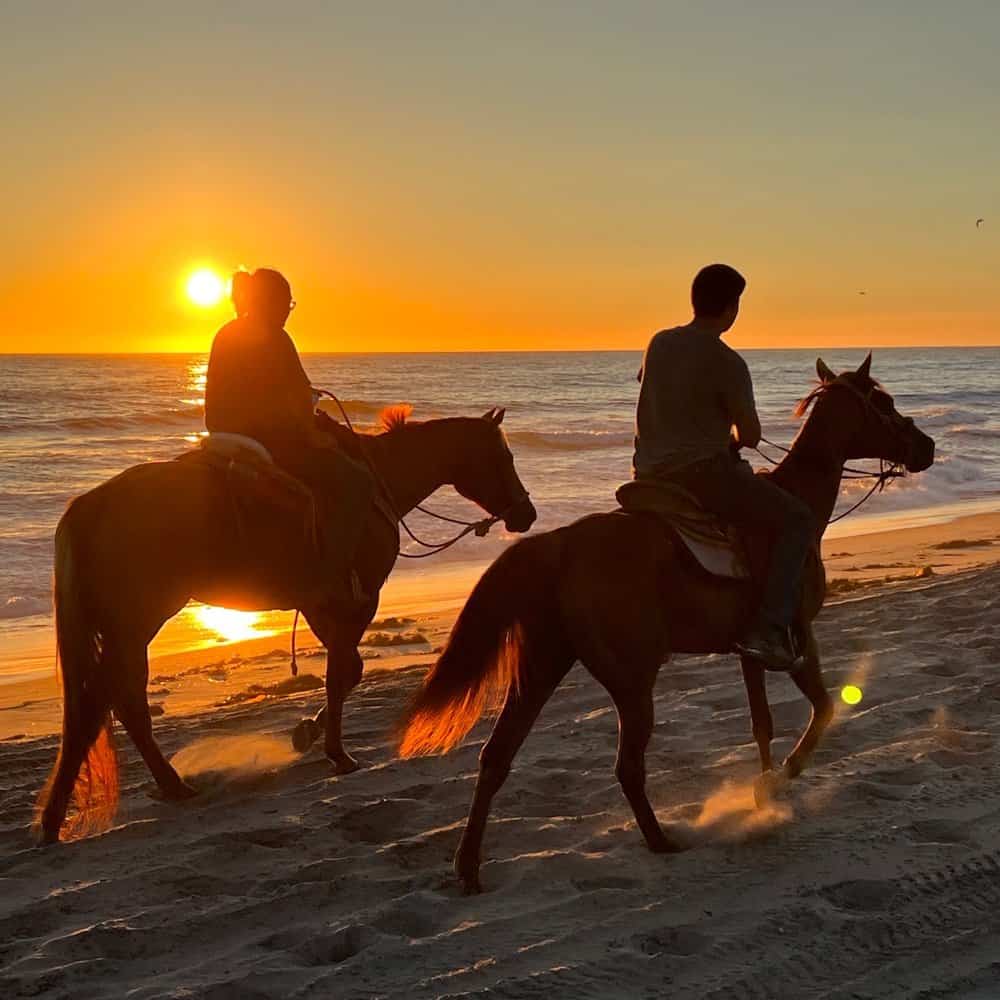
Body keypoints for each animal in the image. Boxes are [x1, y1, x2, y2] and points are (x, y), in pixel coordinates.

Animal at [33, 406, 540, 844]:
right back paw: (136, 794)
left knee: (111, 702)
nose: (526, 514)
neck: (380, 477)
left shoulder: (320, 605)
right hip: (137, 621)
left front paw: (310, 732)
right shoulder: (354, 599)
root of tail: (91, 505)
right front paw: (337, 753)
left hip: (126, 627)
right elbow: (341, 673)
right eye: (505, 457)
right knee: (110, 701)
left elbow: (349, 670)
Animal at [398, 358, 936, 892]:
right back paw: (660, 840)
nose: (927, 447)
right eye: (884, 402)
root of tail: (560, 544)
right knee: (627, 767)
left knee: (497, 757)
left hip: (542, 668)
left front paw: (765, 787)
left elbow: (762, 723)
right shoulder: (799, 637)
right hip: (632, 681)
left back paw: (469, 867)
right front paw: (782, 776)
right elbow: (823, 709)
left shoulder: (751, 650)